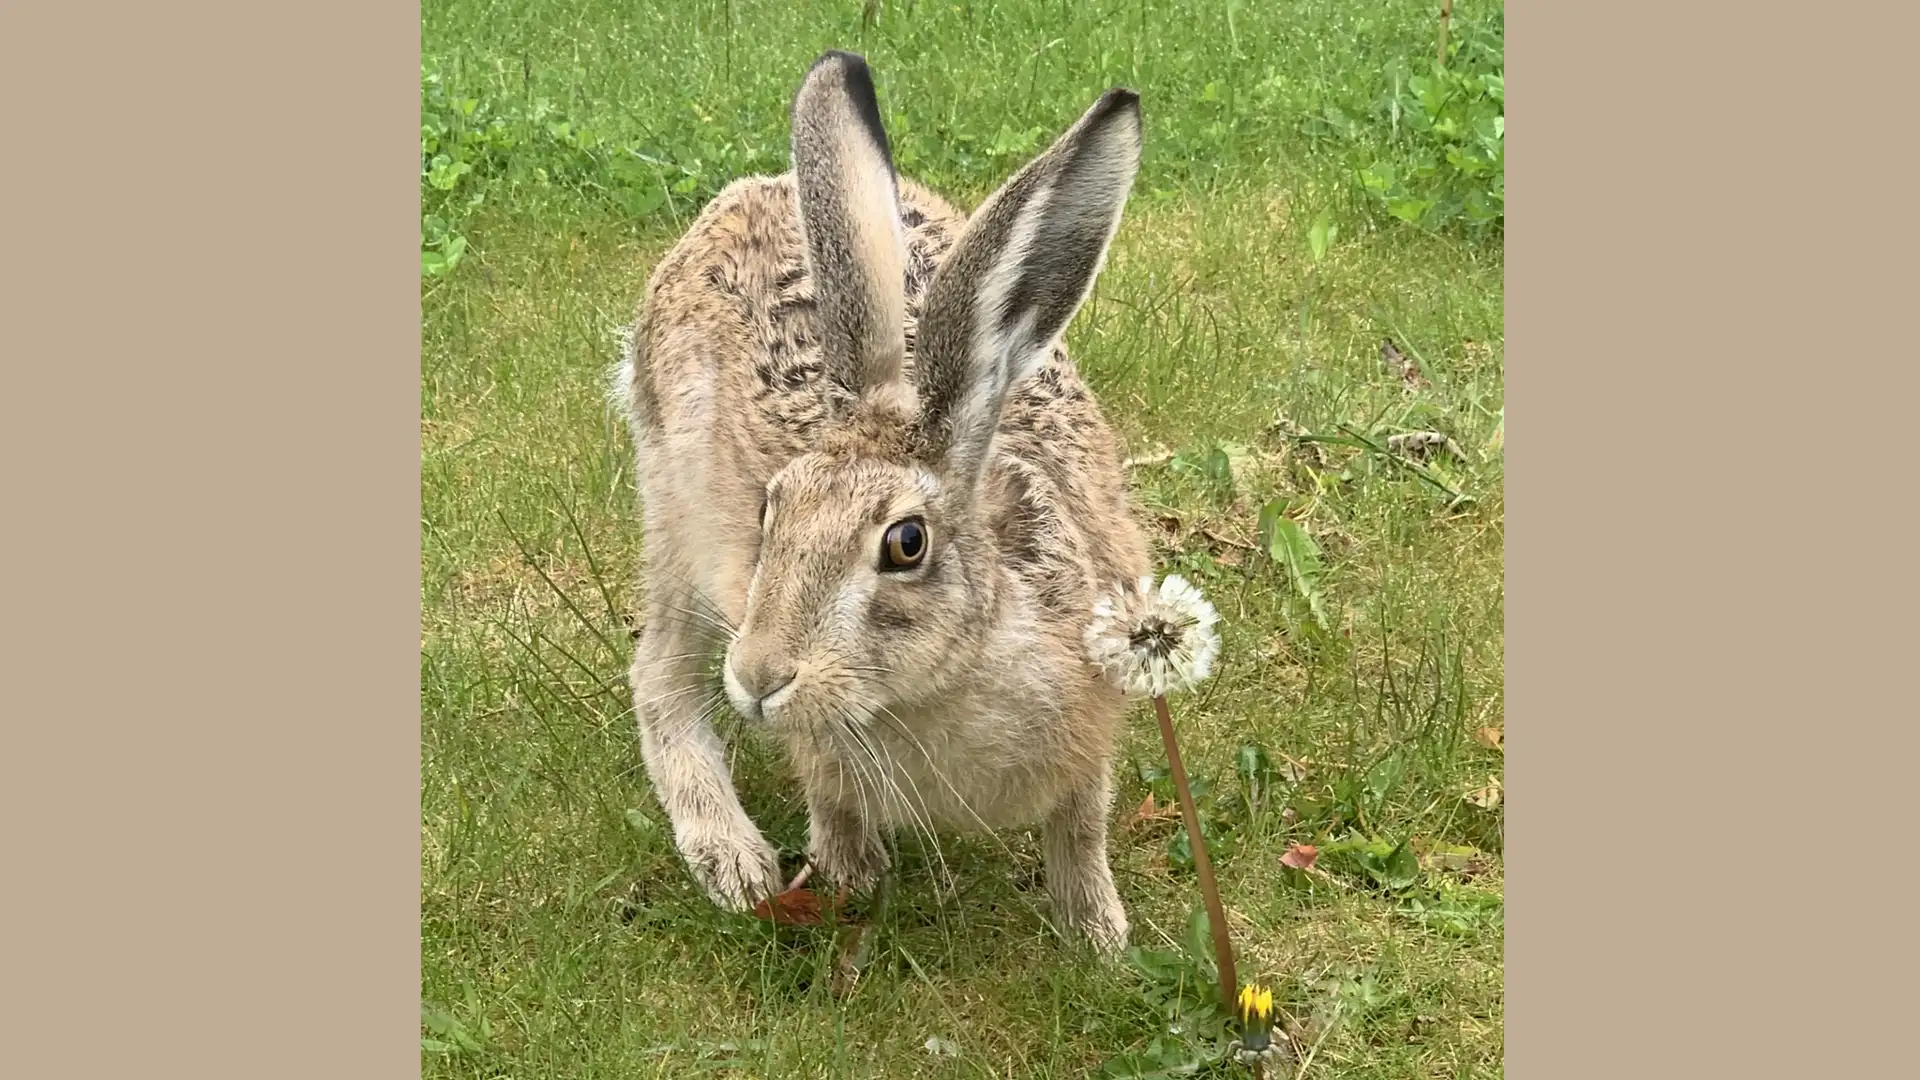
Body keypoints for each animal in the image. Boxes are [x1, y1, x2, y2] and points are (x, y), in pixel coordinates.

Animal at [612, 50, 1151, 952]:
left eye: (905, 544)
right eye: (771, 511)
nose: (759, 679)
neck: (933, 684)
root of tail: (745, 194)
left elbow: (1081, 830)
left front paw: (1100, 940)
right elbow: (835, 810)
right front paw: (847, 883)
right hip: (672, 510)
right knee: (658, 675)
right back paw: (732, 860)